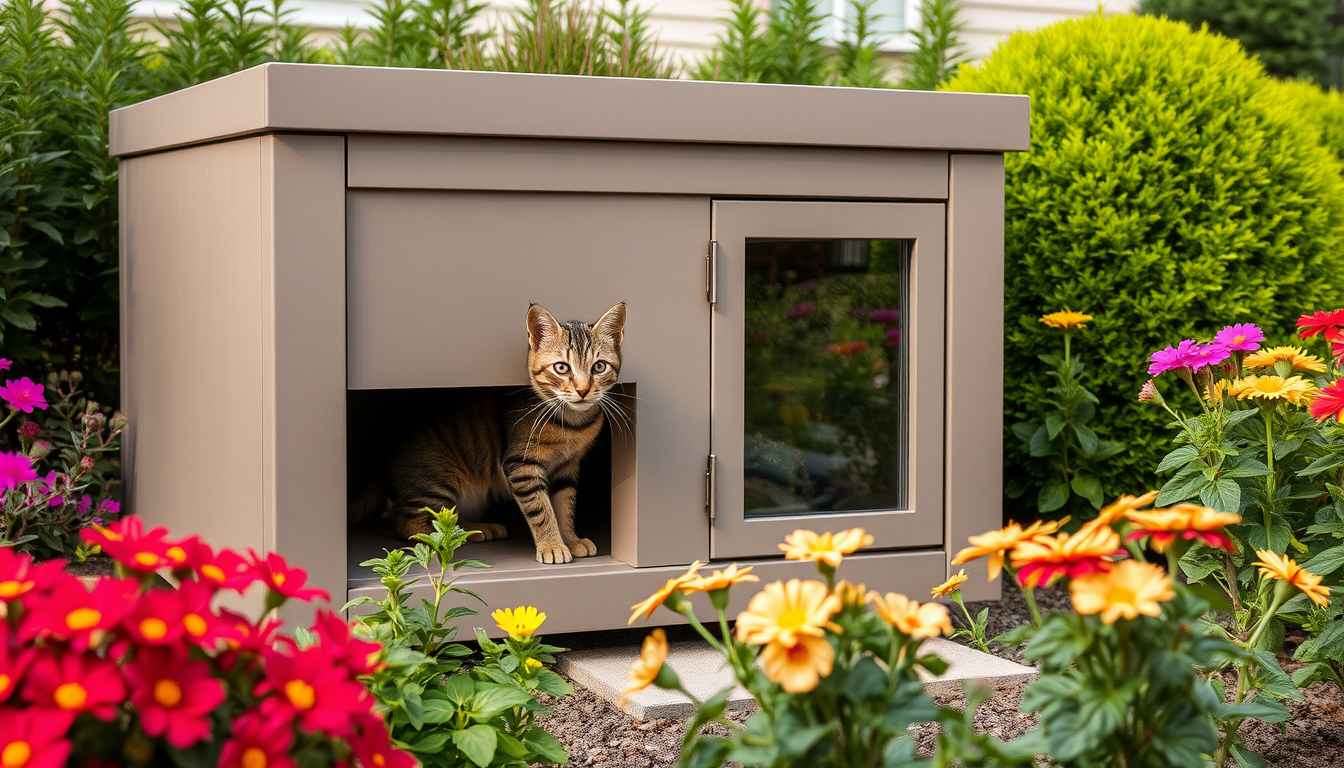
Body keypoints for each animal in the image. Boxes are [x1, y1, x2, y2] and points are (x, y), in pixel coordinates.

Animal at [357, 305, 628, 564]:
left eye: (599, 367)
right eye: (561, 368)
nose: (583, 390)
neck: (571, 424)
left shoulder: (567, 467)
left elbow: (564, 506)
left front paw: (570, 539)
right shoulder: (521, 466)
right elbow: (542, 510)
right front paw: (552, 545)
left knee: (442, 518)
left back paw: (471, 531)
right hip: (437, 480)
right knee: (404, 521)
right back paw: (437, 542)